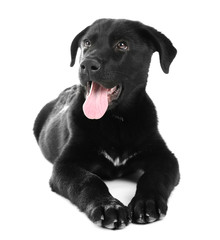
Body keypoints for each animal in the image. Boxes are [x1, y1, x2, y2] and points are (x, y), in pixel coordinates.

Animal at [33, 18, 180, 229]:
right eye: (87, 43)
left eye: (122, 44)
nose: (87, 64)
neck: (115, 121)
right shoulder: (65, 164)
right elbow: (88, 180)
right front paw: (108, 206)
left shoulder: (165, 157)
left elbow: (153, 177)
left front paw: (146, 203)